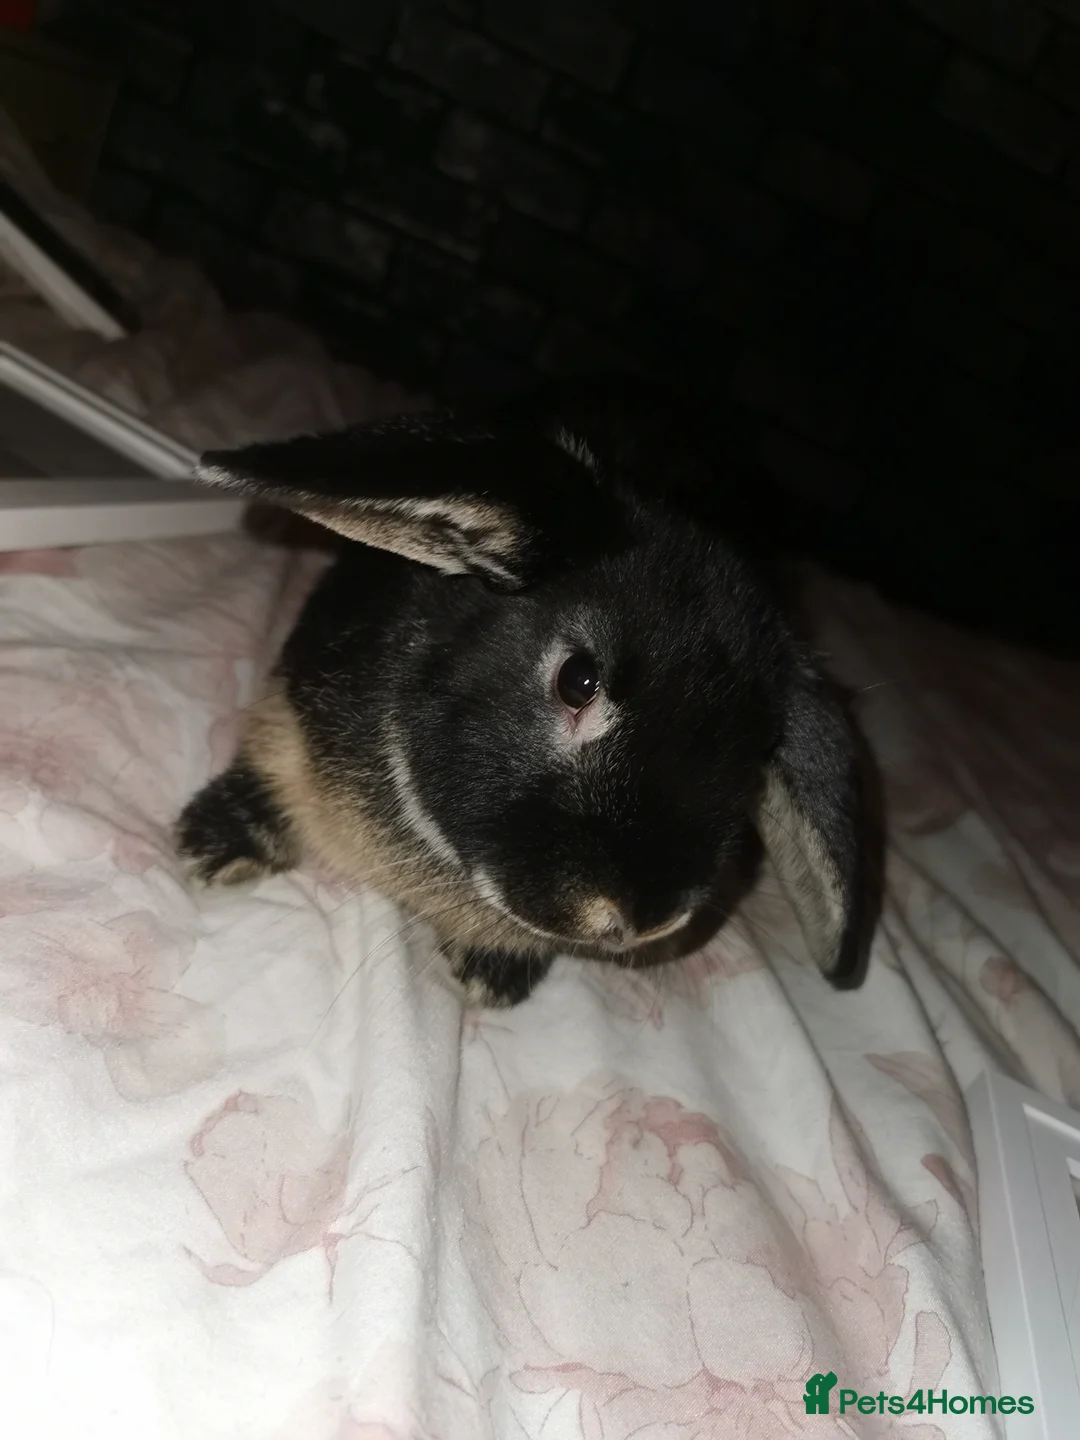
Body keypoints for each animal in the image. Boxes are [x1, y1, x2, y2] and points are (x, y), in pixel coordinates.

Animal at [175, 378, 883, 1007]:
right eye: (577, 679)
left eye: (756, 757)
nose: (642, 918)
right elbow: (272, 757)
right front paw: (210, 845)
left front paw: (493, 979)